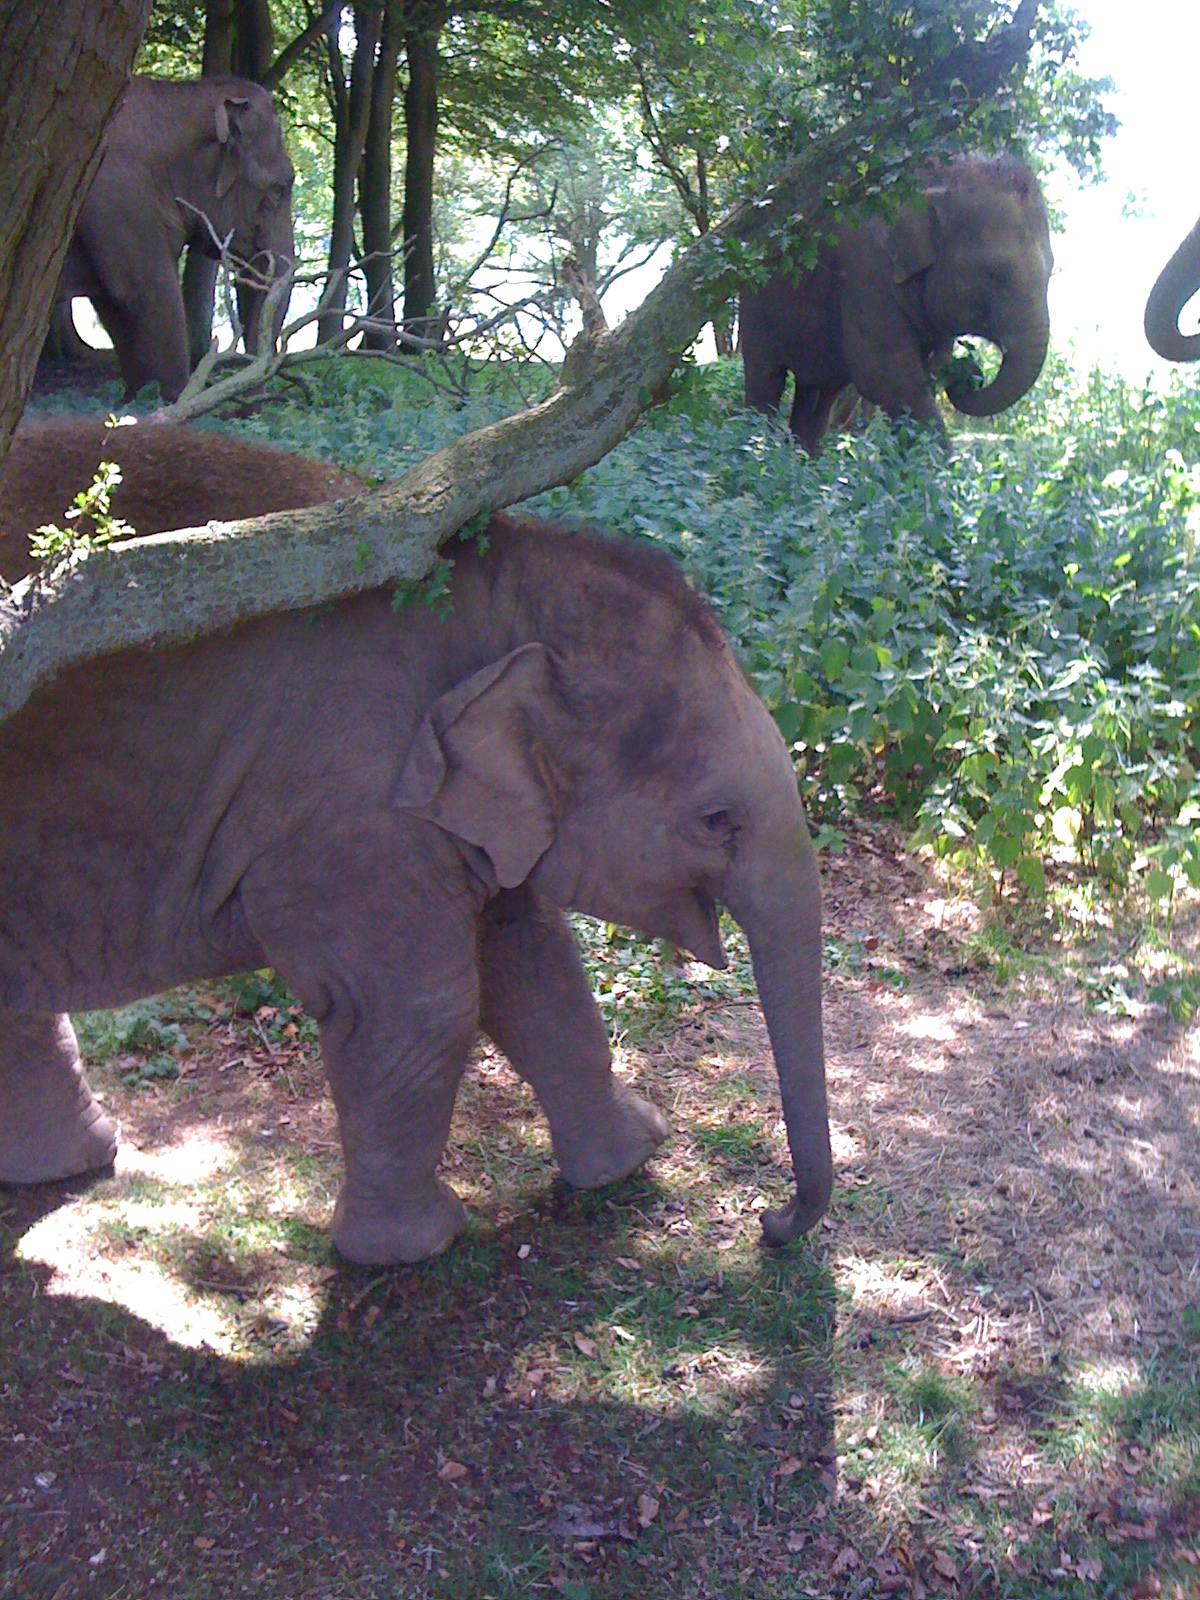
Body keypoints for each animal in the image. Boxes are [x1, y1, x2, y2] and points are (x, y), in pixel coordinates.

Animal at [0, 453, 831, 1267]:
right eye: (716, 821)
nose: (770, 1223)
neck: (492, 585)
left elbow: (537, 965)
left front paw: (631, 1156)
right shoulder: (348, 807)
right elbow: (418, 1003)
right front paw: (414, 1248)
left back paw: (73, 1160)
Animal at [53, 75, 295, 401]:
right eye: (279, 188)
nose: (246, 405)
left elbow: (116, 311)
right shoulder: (121, 198)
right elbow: (147, 295)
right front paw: (174, 402)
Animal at [740, 155, 1054, 453]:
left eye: (1050, 270)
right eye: (992, 273)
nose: (968, 372)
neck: (943, 176)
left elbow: (923, 370)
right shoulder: (865, 272)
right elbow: (887, 375)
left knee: (819, 391)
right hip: (753, 297)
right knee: (765, 377)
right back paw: (756, 448)